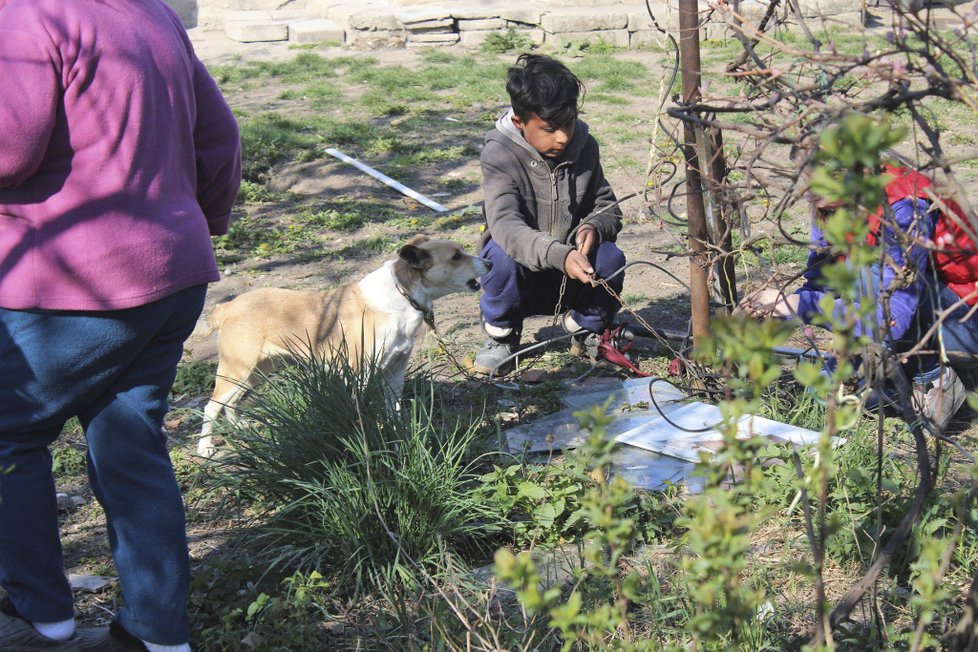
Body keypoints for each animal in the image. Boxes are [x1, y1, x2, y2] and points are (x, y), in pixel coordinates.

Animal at [196, 237, 488, 456]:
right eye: (456, 257)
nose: (489, 261)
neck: (401, 295)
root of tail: (228, 306)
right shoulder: (359, 375)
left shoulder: (395, 372)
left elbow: (393, 411)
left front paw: (399, 438)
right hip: (237, 369)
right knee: (211, 406)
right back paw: (205, 448)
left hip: (258, 369)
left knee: (231, 402)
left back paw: (240, 427)